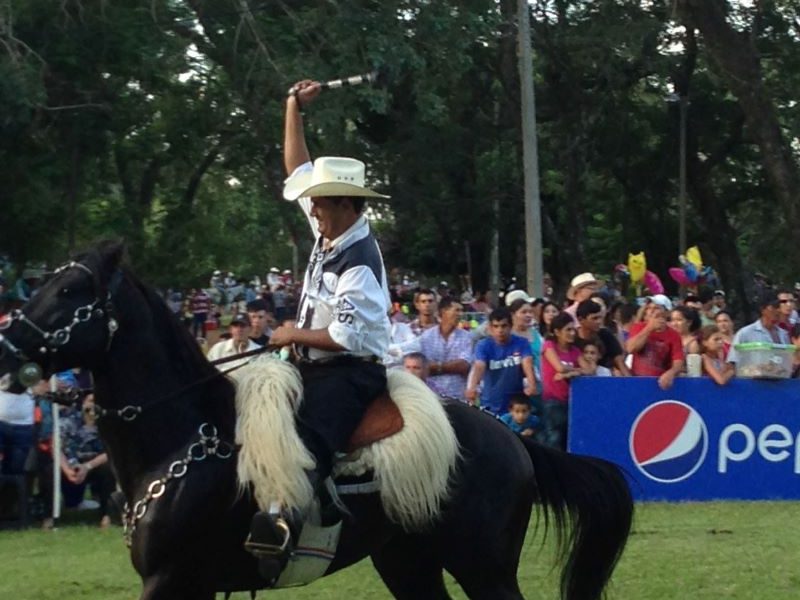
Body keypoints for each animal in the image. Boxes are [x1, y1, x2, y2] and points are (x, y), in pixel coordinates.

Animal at [0, 241, 636, 596]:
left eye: (72, 289)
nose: (7, 344)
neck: (184, 438)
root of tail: (510, 437)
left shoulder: (170, 579)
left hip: (484, 566)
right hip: (408, 562)